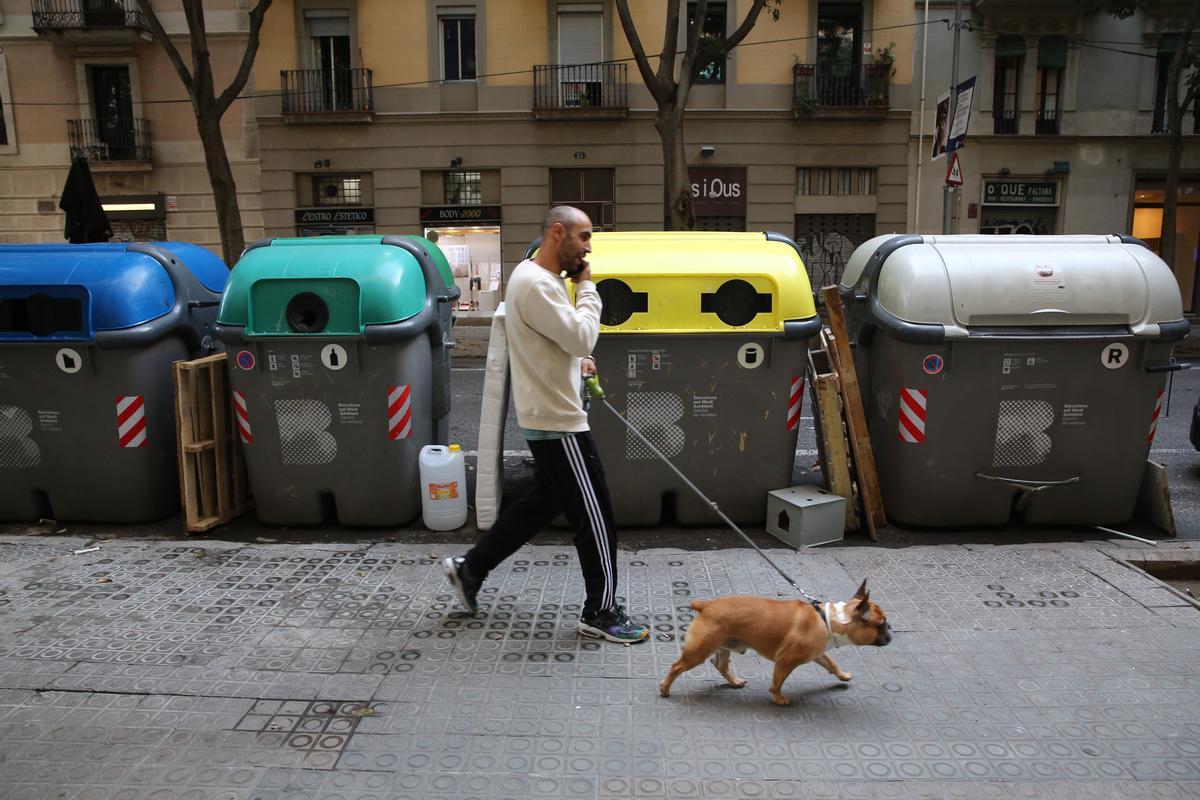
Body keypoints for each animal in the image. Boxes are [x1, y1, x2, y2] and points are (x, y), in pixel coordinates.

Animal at [662, 582, 888, 705]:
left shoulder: (818, 653)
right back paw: (664, 688)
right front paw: (778, 698)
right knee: (677, 666)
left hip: (724, 646)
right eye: (881, 625)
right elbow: (778, 682)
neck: (828, 619)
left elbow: (831, 663)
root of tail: (705, 605)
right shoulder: (786, 661)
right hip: (699, 651)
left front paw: (842, 675)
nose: (890, 633)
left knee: (721, 665)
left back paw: (734, 681)